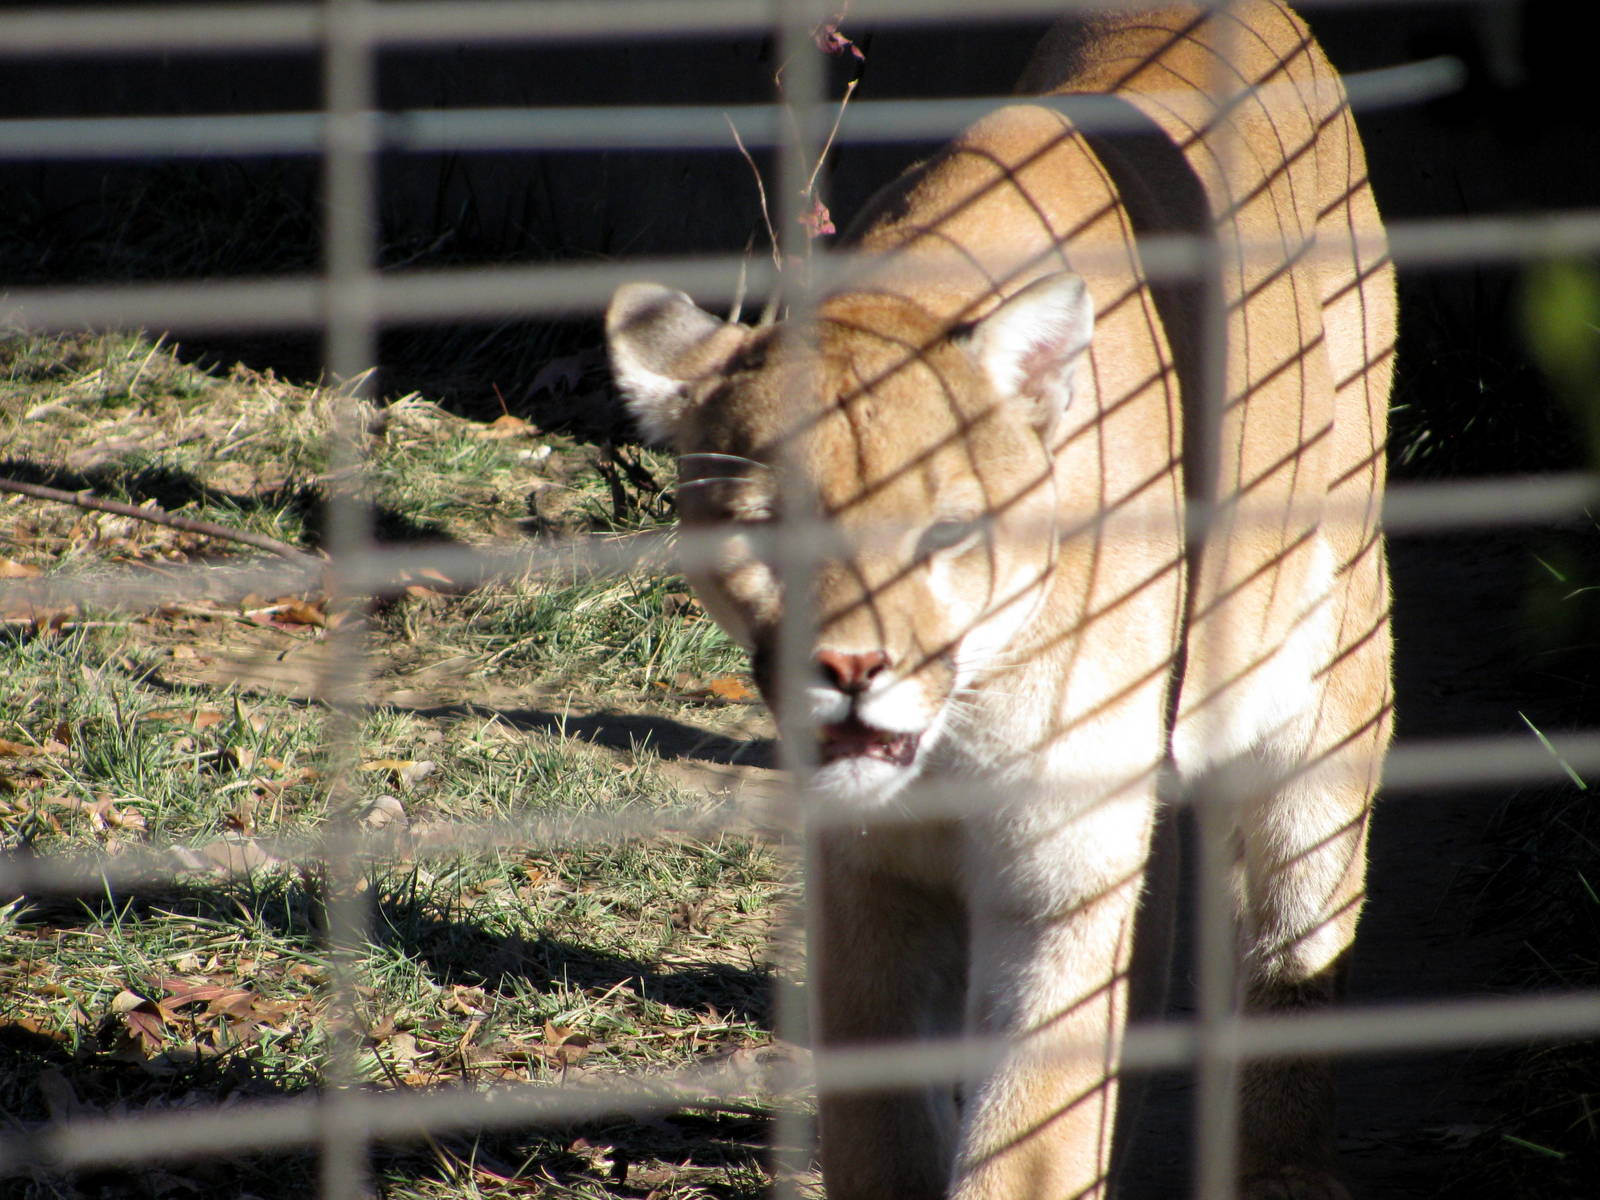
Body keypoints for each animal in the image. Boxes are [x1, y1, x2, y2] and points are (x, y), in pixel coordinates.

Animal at [605, 3, 1394, 1196]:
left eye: (946, 534)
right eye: (770, 529)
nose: (851, 670)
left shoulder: (1056, 875)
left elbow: (1027, 1135)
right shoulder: (866, 880)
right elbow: (881, 1127)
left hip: (1324, 693)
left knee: (1290, 944)